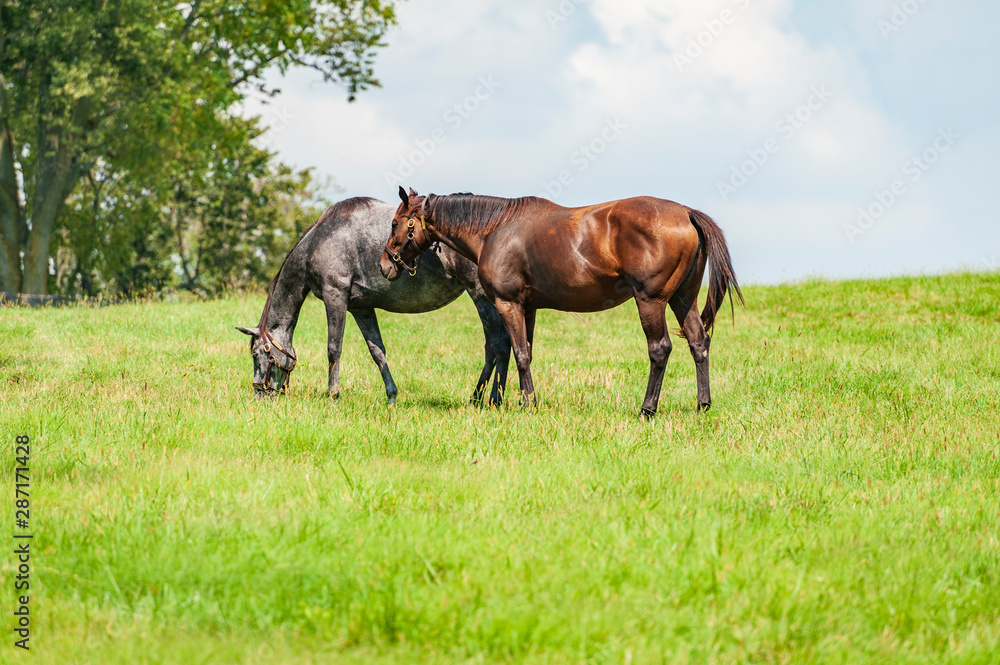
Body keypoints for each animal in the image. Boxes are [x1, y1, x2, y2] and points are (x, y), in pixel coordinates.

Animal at [236, 196, 511, 405]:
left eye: (258, 354)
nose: (259, 393)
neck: (320, 241)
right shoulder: (362, 308)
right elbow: (377, 351)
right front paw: (391, 396)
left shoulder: (335, 297)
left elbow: (333, 348)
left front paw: (332, 395)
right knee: (495, 346)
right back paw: (479, 398)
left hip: (481, 296)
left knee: (498, 344)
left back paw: (490, 399)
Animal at [381, 187, 743, 417]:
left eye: (395, 223)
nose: (385, 265)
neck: (495, 229)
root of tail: (686, 213)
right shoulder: (528, 307)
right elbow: (523, 352)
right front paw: (522, 400)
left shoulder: (508, 304)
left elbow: (519, 353)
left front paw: (528, 404)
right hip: (683, 299)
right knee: (698, 342)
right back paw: (702, 405)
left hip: (651, 301)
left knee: (660, 349)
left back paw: (647, 409)